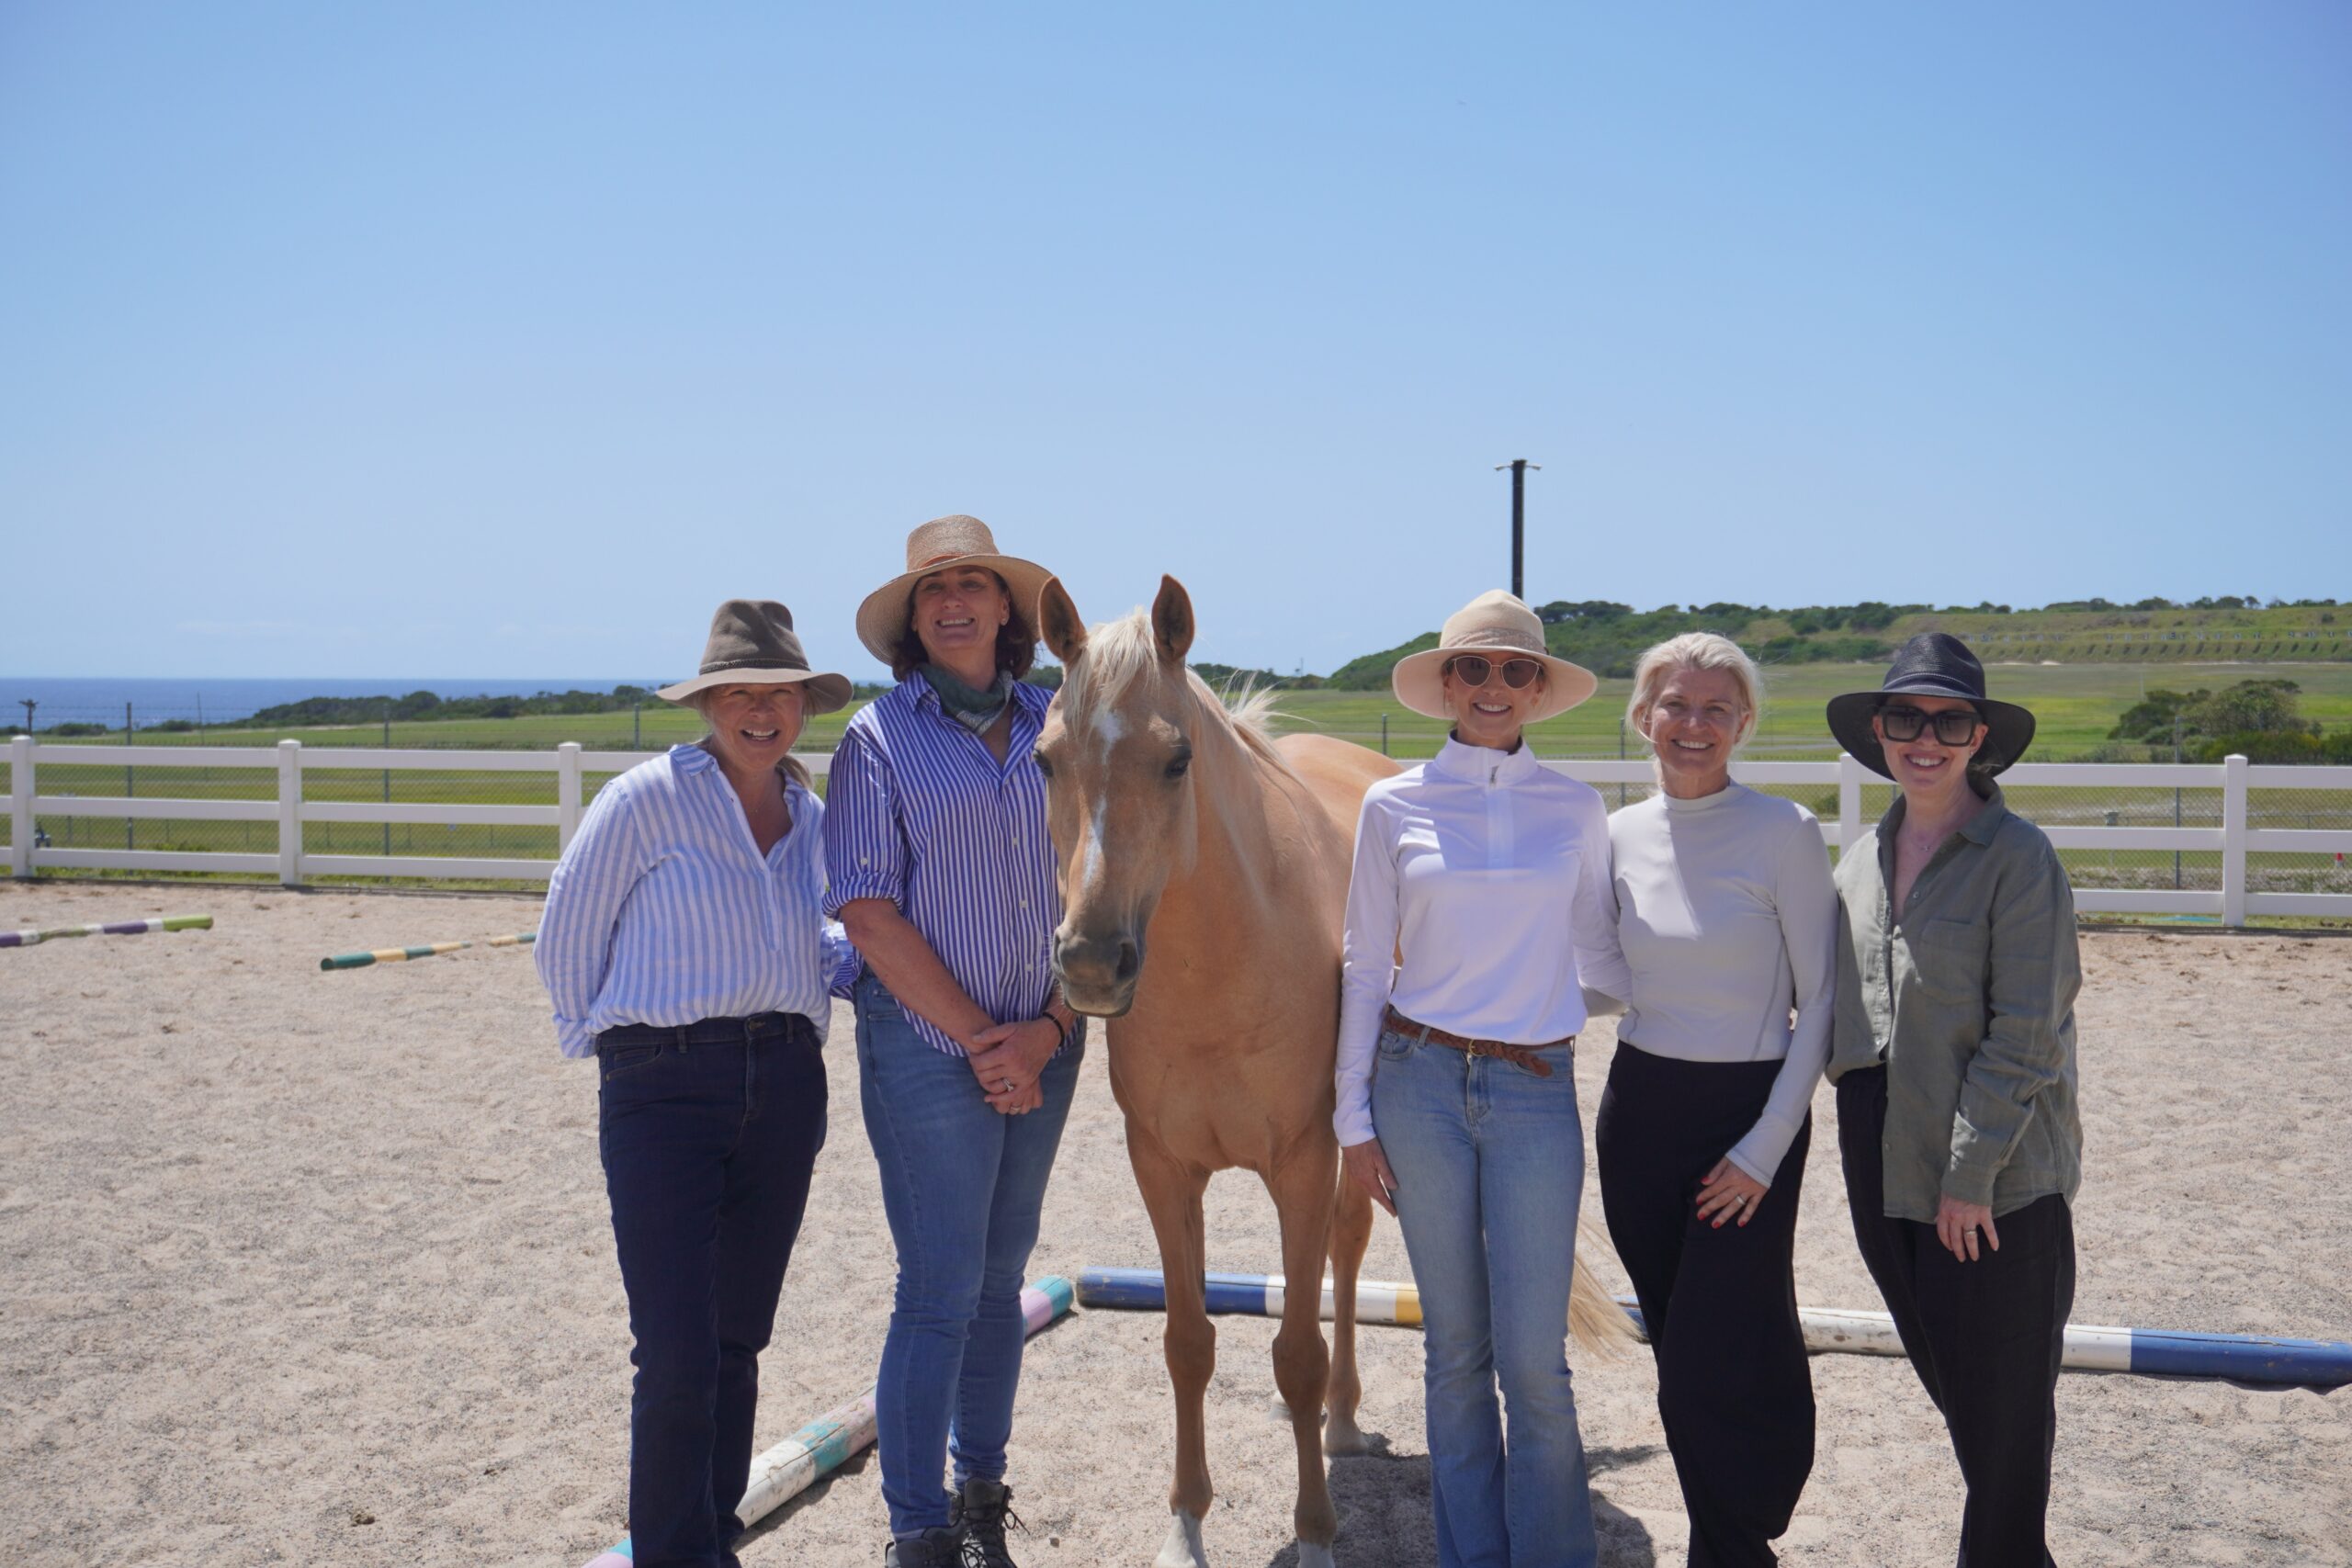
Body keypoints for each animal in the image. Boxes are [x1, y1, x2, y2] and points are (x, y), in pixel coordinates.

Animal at [1035, 575, 1629, 1568]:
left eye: (1176, 759)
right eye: (1044, 760)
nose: (1089, 963)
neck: (1221, 969)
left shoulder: (1305, 1161)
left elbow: (1299, 1350)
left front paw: (1314, 1531)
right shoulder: (1161, 1167)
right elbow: (1188, 1343)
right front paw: (1185, 1524)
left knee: (1343, 1267)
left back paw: (1341, 1421)